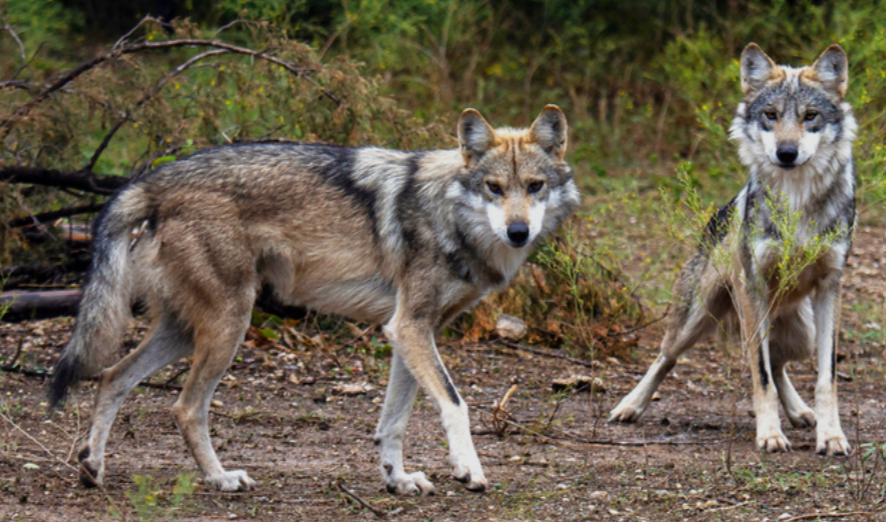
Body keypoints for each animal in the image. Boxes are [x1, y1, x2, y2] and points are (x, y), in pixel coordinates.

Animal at [48, 105, 579, 493]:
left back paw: (92, 468)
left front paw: (398, 480)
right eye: (494, 188)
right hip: (229, 325)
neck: (448, 214)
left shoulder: (411, 331)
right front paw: (469, 470)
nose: (518, 232)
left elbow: (394, 423)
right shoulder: (409, 327)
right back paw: (220, 479)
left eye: (535, 187)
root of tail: (152, 180)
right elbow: (455, 404)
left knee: (111, 377)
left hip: (185, 330)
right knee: (184, 407)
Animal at [609, 44, 855, 457]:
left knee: (779, 360)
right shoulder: (752, 286)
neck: (796, 197)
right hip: (699, 318)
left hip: (801, 333)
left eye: (810, 116)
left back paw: (801, 413)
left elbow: (826, 378)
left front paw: (832, 436)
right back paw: (630, 405)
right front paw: (770, 435)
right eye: (771, 115)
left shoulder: (830, 287)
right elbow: (760, 374)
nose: (786, 153)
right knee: (667, 356)